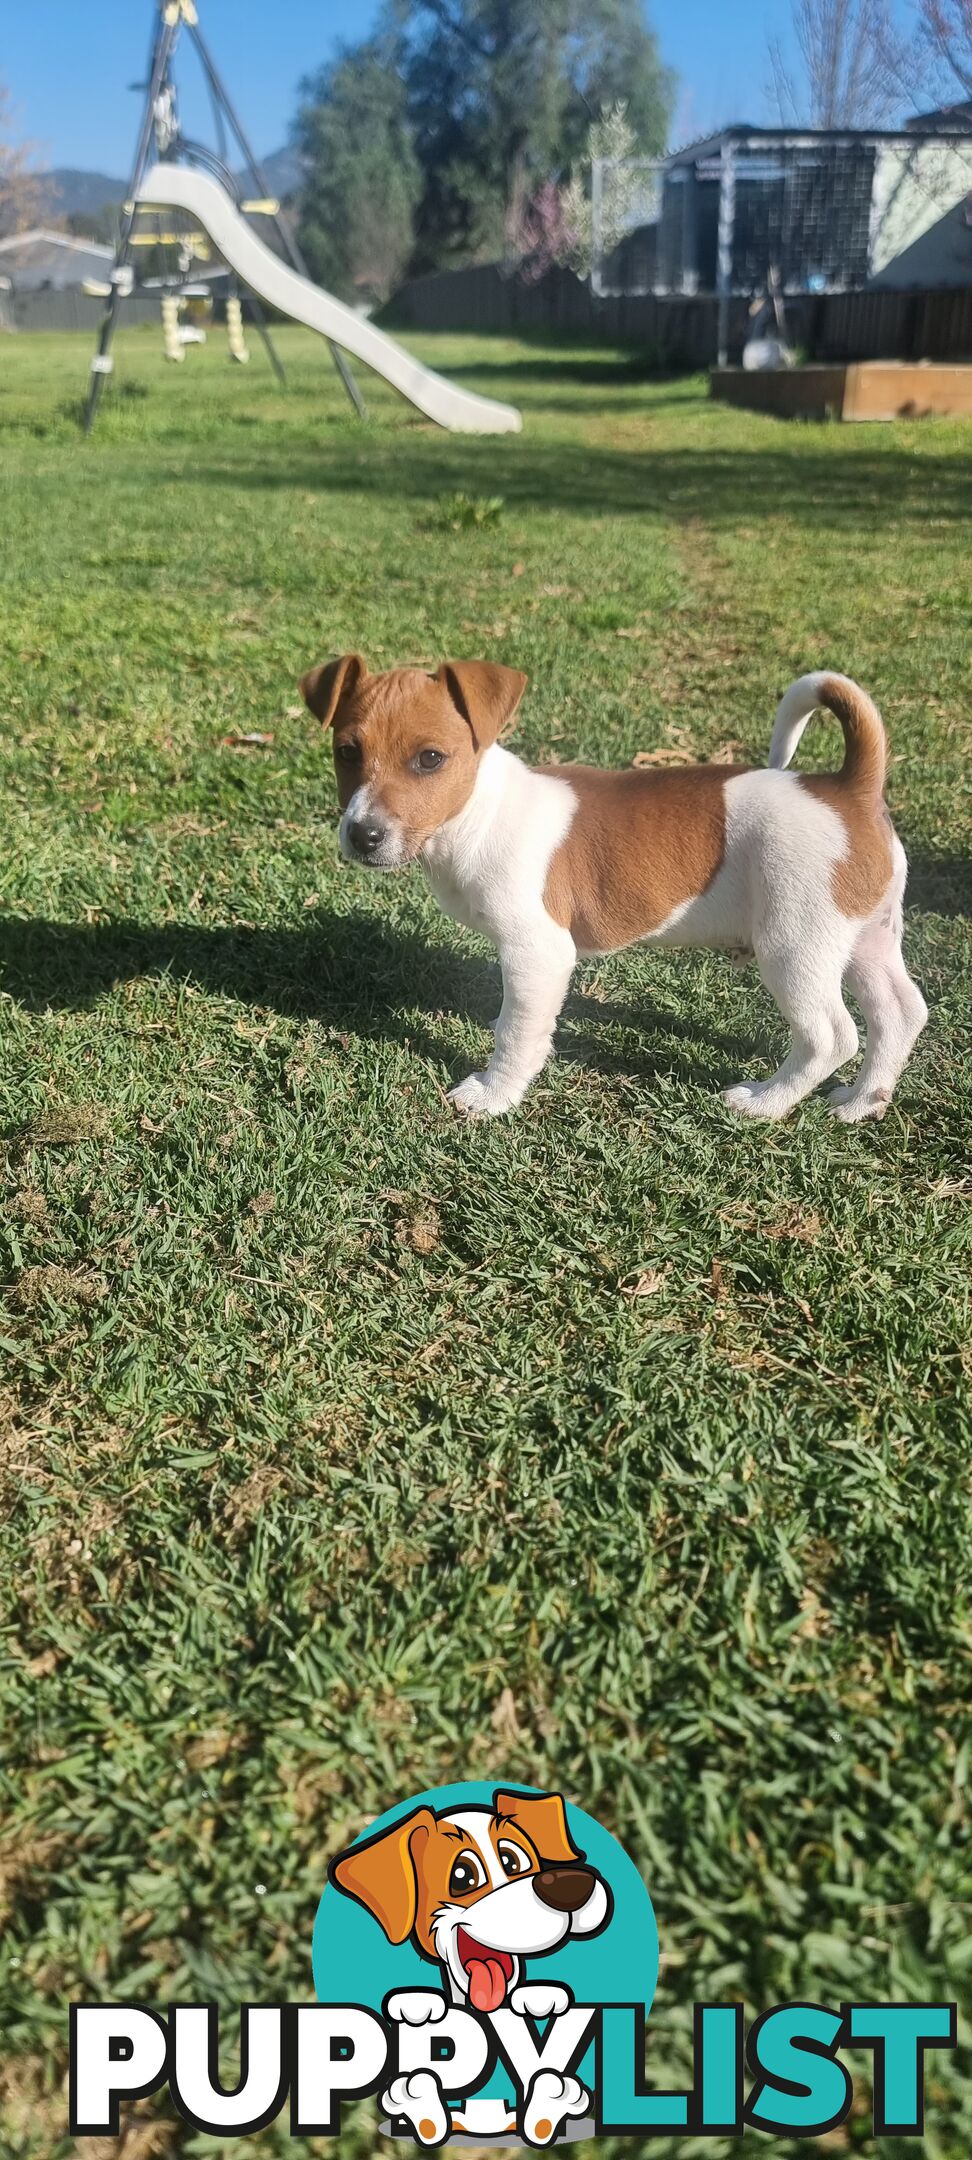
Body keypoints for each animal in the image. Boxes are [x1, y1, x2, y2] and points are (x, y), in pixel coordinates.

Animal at [300, 652, 924, 1131]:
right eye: (346, 753)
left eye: (430, 759)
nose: (362, 834)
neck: (479, 813)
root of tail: (847, 788)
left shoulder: (538, 952)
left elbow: (517, 1032)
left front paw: (494, 1095)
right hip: (865, 938)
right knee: (900, 1014)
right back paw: (862, 1103)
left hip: (796, 944)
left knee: (831, 1037)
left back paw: (766, 1103)